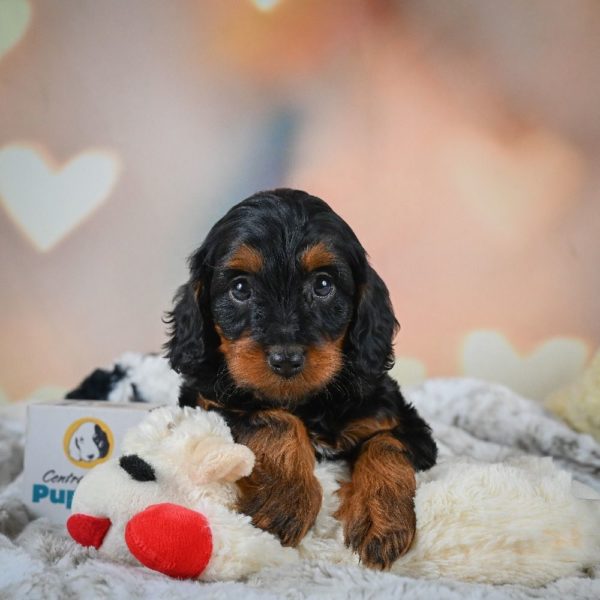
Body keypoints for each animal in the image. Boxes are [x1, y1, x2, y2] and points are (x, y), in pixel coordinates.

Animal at [164, 188, 436, 568]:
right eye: (240, 288)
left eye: (323, 285)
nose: (286, 359)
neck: (307, 401)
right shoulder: (205, 402)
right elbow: (277, 420)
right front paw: (287, 500)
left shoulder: (407, 424)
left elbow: (385, 443)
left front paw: (380, 519)